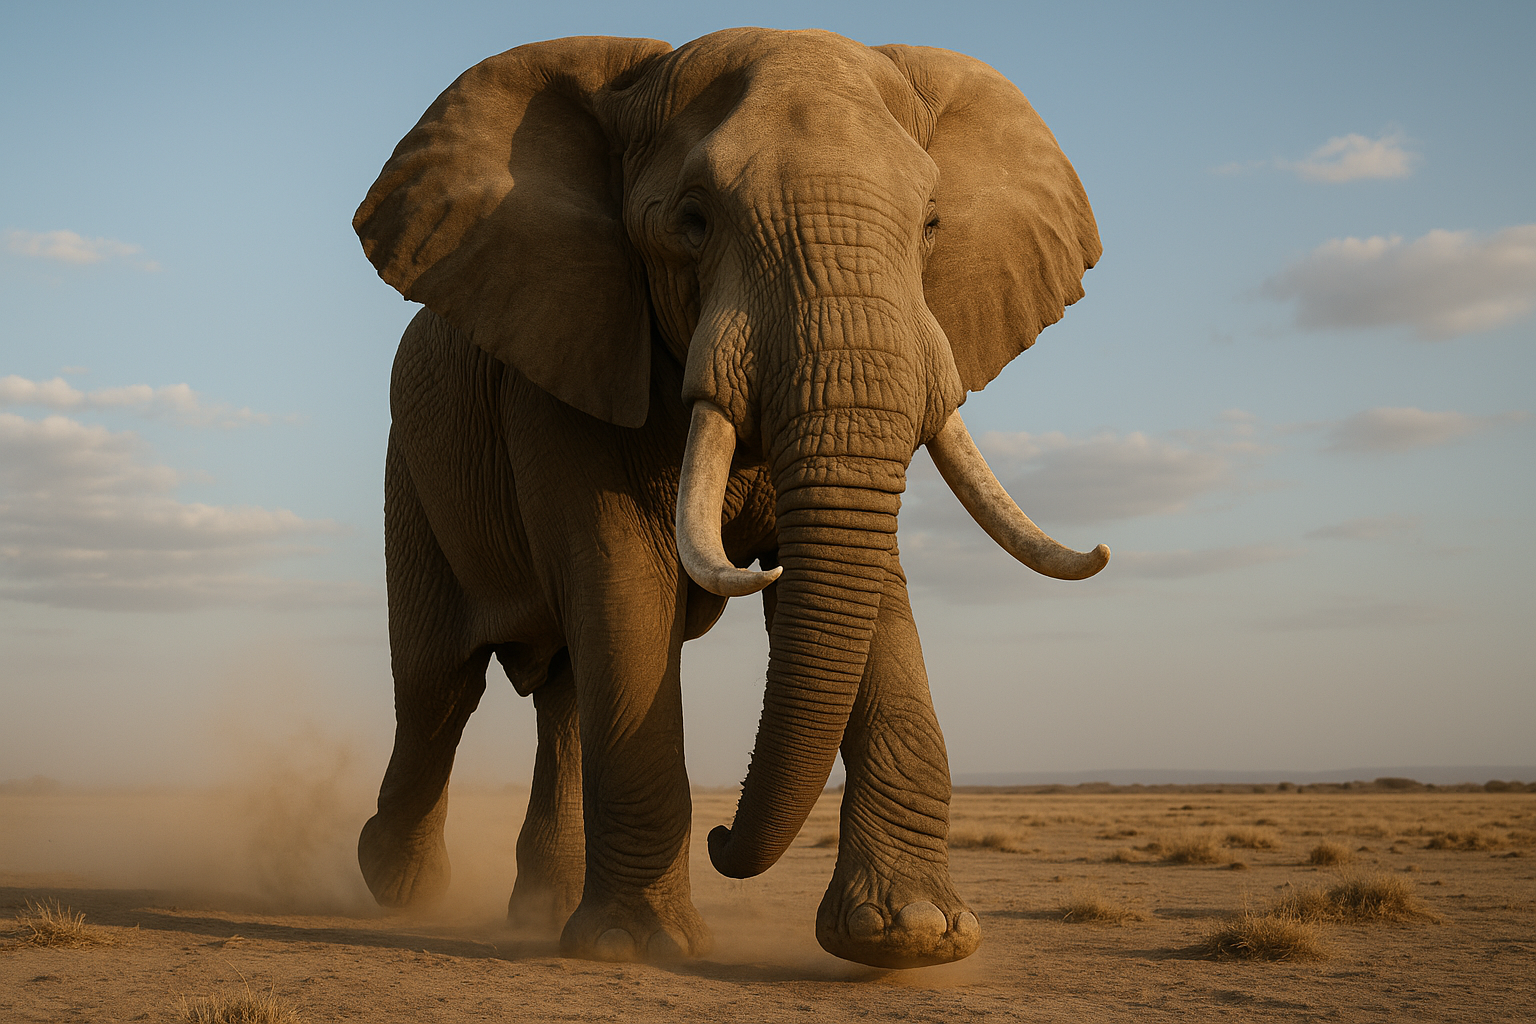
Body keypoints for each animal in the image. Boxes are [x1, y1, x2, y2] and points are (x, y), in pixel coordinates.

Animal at [352, 27, 1108, 969]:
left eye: (931, 225)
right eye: (693, 221)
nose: (721, 840)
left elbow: (866, 587)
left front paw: (913, 937)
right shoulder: (569, 357)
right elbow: (626, 582)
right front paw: (640, 946)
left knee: (561, 694)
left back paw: (536, 912)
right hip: (411, 476)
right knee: (436, 687)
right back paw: (397, 883)